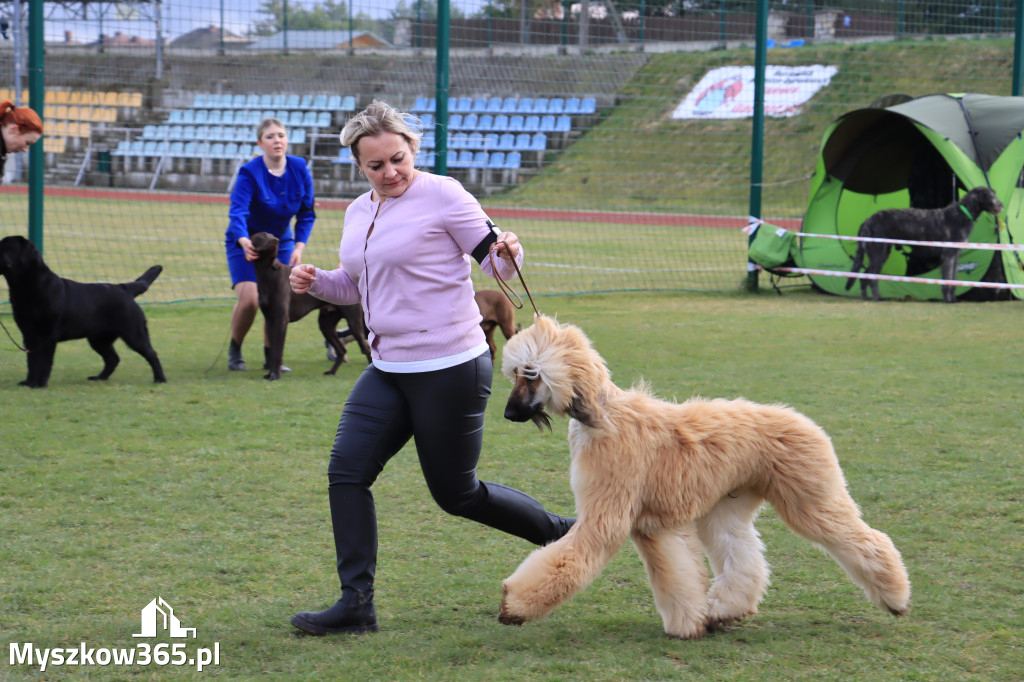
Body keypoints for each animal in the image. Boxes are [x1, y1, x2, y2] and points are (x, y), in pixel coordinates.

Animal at [0, 233, 165, 385]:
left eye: (8, 248)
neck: (29, 285)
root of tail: (124, 288)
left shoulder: (46, 336)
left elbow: (42, 361)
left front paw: (38, 384)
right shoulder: (29, 335)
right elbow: (31, 361)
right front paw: (28, 382)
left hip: (134, 333)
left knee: (152, 354)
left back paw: (160, 379)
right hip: (99, 339)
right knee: (113, 358)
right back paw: (99, 378)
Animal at [248, 228, 372, 376]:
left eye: (272, 235)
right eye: (262, 235)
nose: (275, 240)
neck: (268, 273)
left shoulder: (280, 321)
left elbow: (278, 352)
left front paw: (275, 375)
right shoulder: (270, 321)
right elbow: (273, 351)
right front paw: (270, 374)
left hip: (354, 323)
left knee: (366, 348)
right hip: (326, 325)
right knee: (342, 350)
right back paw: (331, 372)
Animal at [843, 186, 1003, 303]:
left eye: (994, 194)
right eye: (991, 195)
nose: (1001, 205)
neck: (962, 214)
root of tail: (867, 221)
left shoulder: (955, 255)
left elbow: (953, 278)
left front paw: (952, 298)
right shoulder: (948, 255)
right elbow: (947, 278)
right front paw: (948, 300)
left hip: (882, 252)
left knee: (864, 275)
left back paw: (866, 297)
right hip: (878, 252)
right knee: (871, 275)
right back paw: (877, 298)